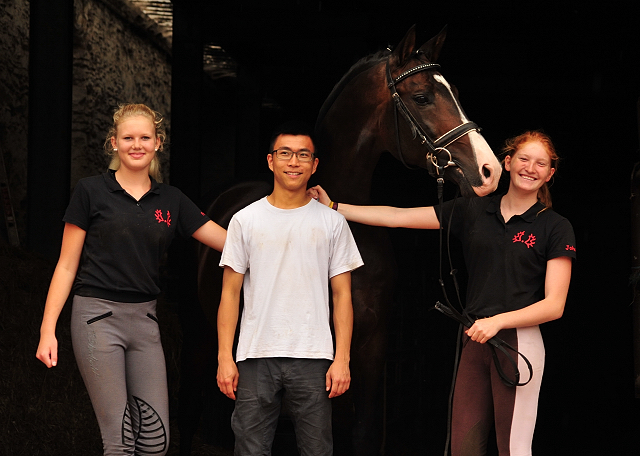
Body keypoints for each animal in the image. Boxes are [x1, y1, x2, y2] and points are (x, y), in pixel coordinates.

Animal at [178, 25, 502, 456]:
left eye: (457, 95)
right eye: (421, 97)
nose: (489, 171)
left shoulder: (370, 350)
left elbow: (362, 432)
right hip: (201, 339)